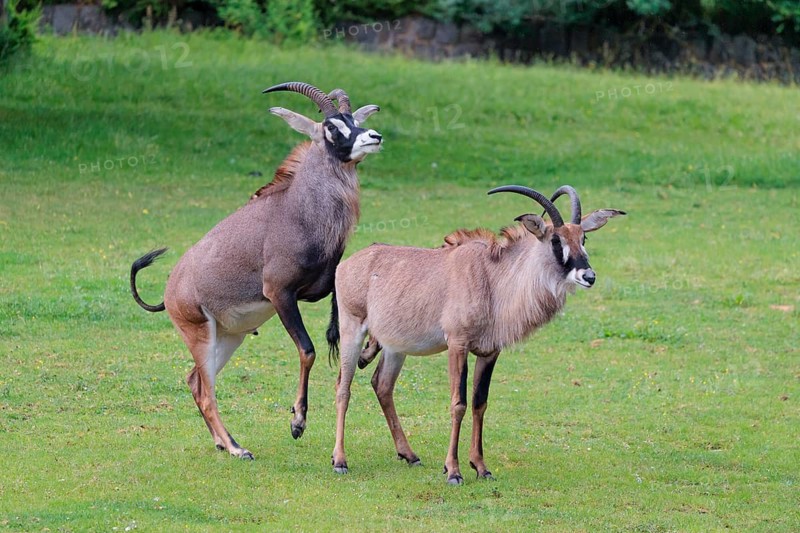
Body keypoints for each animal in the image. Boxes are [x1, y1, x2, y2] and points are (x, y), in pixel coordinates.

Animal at [130, 82, 383, 460]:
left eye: (355, 120)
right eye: (331, 127)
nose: (374, 136)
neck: (297, 209)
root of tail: (170, 289)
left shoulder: (324, 288)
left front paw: (364, 357)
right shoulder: (281, 295)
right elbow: (307, 349)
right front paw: (297, 422)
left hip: (228, 337)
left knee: (195, 381)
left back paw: (223, 442)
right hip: (200, 333)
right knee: (207, 391)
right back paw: (237, 448)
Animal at [326, 185, 625, 483]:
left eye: (583, 237)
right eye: (555, 240)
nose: (588, 276)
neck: (493, 279)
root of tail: (347, 264)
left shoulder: (489, 352)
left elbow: (480, 403)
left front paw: (481, 467)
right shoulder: (458, 345)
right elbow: (458, 403)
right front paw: (453, 471)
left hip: (395, 347)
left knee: (383, 385)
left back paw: (409, 455)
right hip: (352, 330)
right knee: (343, 387)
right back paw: (340, 460)